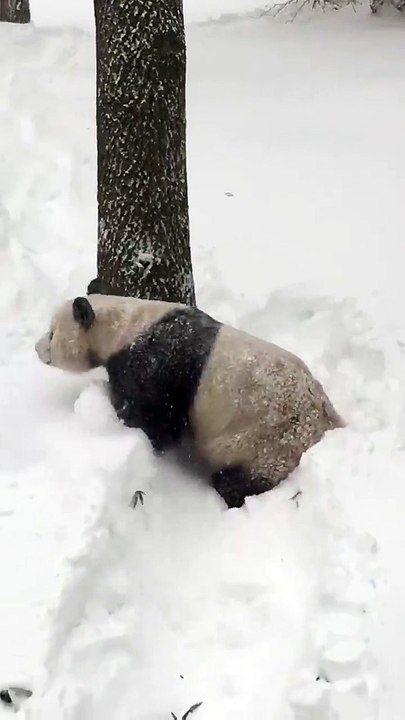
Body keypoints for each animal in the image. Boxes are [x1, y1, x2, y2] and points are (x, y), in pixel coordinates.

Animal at [35, 285, 343, 508]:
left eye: (51, 334)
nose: (37, 349)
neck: (125, 324)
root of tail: (329, 423)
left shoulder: (158, 363)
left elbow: (153, 418)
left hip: (269, 441)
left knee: (241, 479)